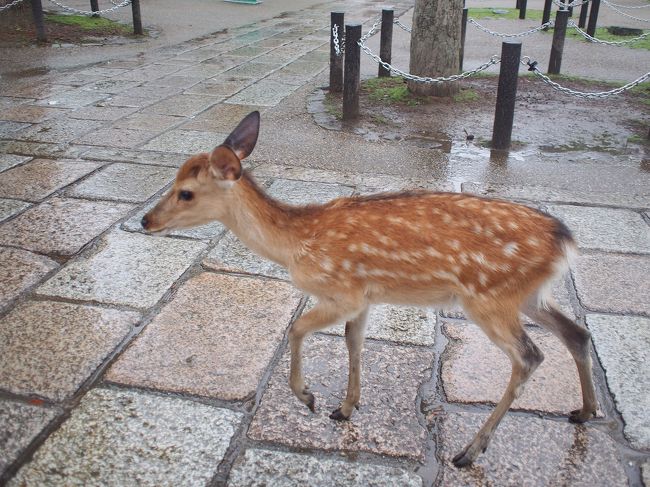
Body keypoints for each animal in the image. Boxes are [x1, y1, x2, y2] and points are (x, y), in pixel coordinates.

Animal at [141, 111, 598, 467]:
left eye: (186, 193)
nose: (146, 220)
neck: (296, 245)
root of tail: (566, 243)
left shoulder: (344, 290)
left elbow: (297, 328)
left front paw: (307, 397)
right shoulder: (365, 296)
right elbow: (353, 340)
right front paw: (345, 408)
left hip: (488, 297)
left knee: (530, 355)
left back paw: (470, 451)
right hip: (529, 295)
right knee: (577, 332)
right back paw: (584, 411)